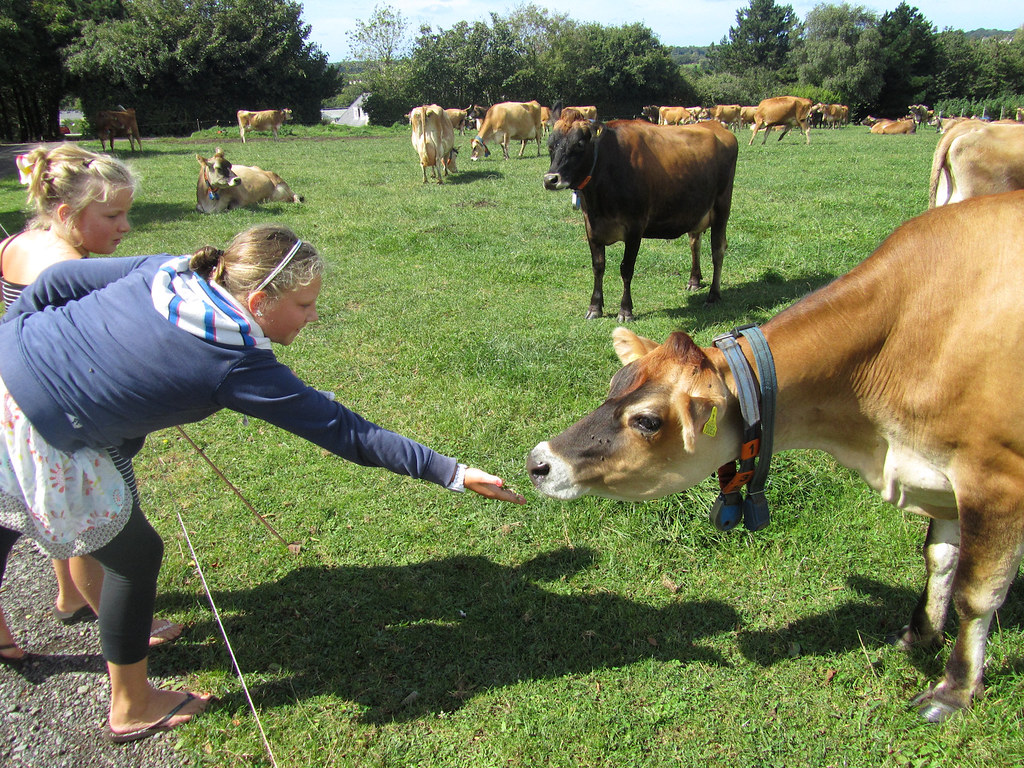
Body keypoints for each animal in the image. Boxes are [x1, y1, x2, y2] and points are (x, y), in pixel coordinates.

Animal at [528, 190, 1024, 723]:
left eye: (647, 421)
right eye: (613, 387)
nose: (538, 461)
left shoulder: (994, 478)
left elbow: (976, 594)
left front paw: (955, 689)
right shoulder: (939, 476)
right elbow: (940, 559)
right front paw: (920, 634)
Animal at [543, 115, 738, 320]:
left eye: (579, 144)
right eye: (550, 145)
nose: (550, 180)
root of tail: (715, 125)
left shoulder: (635, 227)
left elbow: (626, 268)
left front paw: (625, 310)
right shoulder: (591, 227)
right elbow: (598, 266)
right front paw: (595, 307)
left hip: (722, 206)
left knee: (718, 250)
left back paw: (713, 295)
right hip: (696, 210)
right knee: (695, 243)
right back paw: (694, 280)